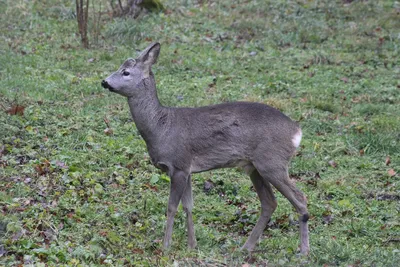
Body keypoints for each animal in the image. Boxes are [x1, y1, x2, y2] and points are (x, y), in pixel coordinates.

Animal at [101, 42, 310, 255]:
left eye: (126, 72)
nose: (104, 82)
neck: (161, 127)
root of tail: (297, 131)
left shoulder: (179, 165)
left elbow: (171, 207)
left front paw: (165, 246)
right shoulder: (187, 170)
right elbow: (189, 206)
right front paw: (192, 245)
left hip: (272, 162)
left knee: (300, 197)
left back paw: (303, 251)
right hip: (255, 167)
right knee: (269, 202)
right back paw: (246, 247)